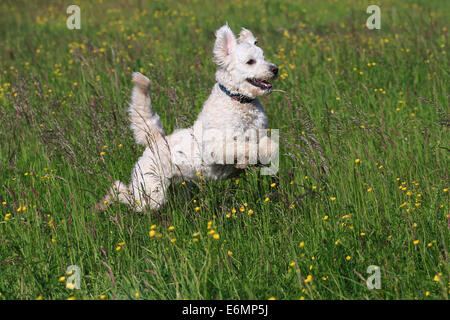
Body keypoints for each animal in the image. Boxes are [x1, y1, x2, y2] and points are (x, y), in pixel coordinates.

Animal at [97, 25, 278, 212]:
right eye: (250, 61)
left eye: (263, 57)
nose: (275, 69)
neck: (239, 101)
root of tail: (155, 140)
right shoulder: (216, 147)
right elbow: (243, 147)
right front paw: (244, 160)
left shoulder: (260, 134)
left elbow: (270, 146)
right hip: (151, 195)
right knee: (125, 194)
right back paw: (107, 200)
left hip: (176, 189)